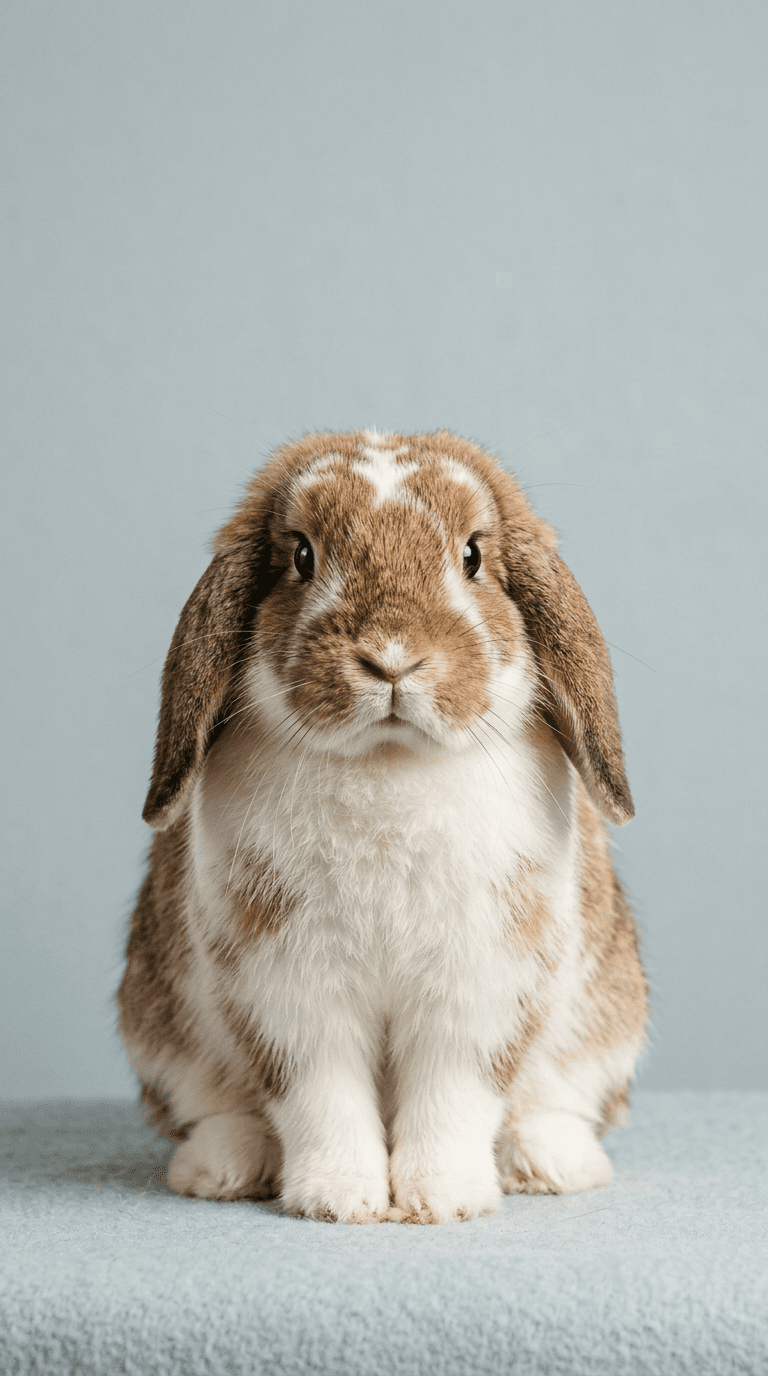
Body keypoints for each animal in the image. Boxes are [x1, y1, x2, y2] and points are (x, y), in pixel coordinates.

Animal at [117, 428, 648, 1223]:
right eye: (302, 556)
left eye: (473, 556)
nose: (392, 658)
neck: (388, 763)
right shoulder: (291, 994)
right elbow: (321, 1098)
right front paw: (338, 1200)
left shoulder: (480, 989)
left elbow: (455, 1098)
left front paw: (442, 1200)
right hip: (162, 1031)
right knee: (213, 1110)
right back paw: (226, 1166)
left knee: (556, 1105)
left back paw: (550, 1163)